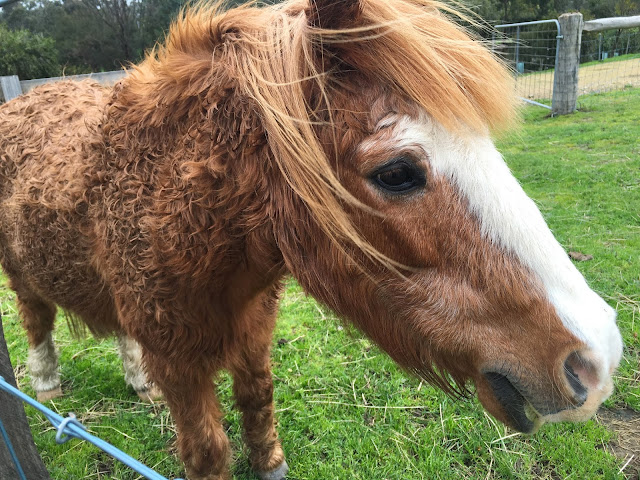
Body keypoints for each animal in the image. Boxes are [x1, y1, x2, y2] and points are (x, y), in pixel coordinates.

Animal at [0, 0, 624, 480]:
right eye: (396, 173)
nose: (596, 359)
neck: (170, 202)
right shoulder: (180, 363)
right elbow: (208, 449)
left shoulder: (252, 329)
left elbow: (258, 401)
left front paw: (270, 464)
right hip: (23, 277)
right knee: (36, 320)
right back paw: (46, 384)